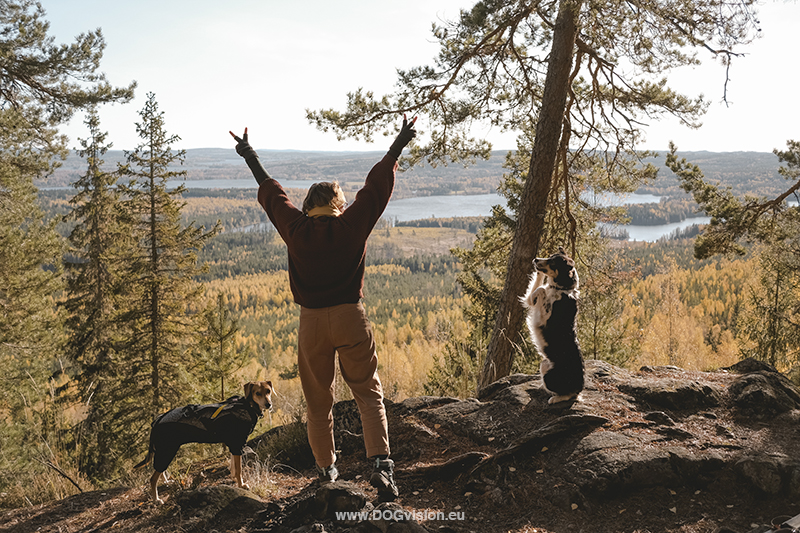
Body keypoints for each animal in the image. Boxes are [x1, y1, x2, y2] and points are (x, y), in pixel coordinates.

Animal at [136, 380, 274, 500]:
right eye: (257, 393)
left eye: (268, 391)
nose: (269, 404)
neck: (247, 406)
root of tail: (157, 421)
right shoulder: (237, 443)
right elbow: (239, 469)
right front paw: (241, 485)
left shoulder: (234, 444)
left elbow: (233, 466)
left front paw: (234, 478)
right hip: (168, 450)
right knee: (153, 478)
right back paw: (157, 500)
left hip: (165, 449)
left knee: (159, 470)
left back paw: (166, 482)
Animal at [520, 248, 584, 404]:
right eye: (549, 257)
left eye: (552, 262)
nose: (536, 259)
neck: (561, 288)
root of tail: (579, 388)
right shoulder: (531, 303)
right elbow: (536, 290)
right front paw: (539, 274)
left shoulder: (542, 320)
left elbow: (541, 290)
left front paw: (539, 292)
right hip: (544, 364)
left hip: (549, 375)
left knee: (568, 395)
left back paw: (554, 398)